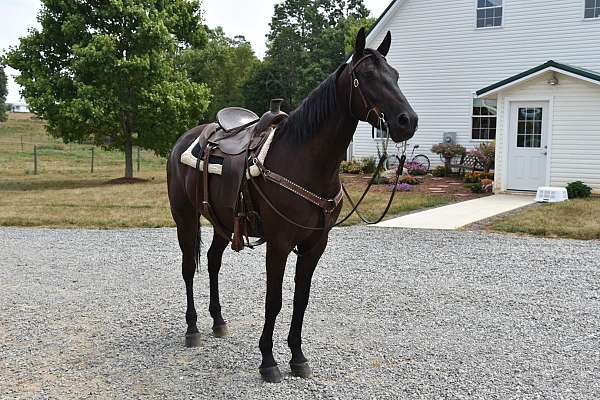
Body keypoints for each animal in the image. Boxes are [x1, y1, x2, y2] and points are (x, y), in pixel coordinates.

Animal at [165, 28, 418, 382]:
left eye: (394, 75)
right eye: (366, 76)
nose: (408, 121)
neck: (304, 160)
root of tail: (186, 139)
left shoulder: (315, 244)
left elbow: (301, 299)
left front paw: (297, 357)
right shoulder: (280, 243)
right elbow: (274, 300)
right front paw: (268, 361)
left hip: (222, 221)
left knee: (213, 262)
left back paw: (218, 321)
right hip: (184, 216)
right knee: (189, 267)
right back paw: (193, 329)